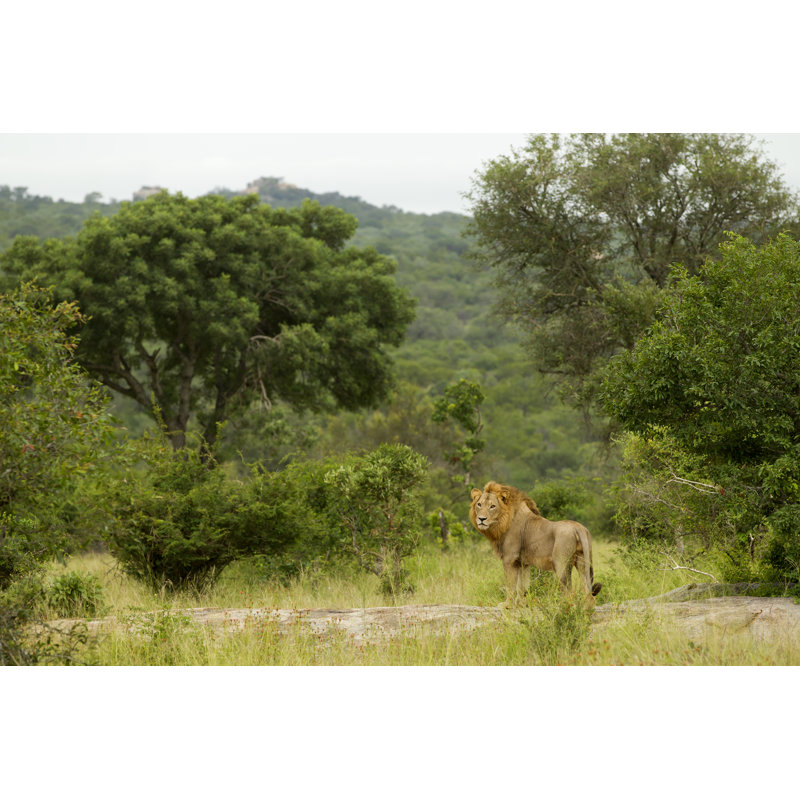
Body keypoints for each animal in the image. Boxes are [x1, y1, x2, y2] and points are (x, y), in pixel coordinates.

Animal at [469, 481, 601, 602]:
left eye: (492, 506)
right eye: (479, 504)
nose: (481, 519)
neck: (503, 522)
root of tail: (579, 528)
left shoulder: (509, 559)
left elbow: (510, 586)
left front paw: (507, 605)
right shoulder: (523, 563)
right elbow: (522, 587)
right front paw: (520, 604)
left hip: (561, 564)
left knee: (570, 593)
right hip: (583, 561)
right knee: (588, 593)